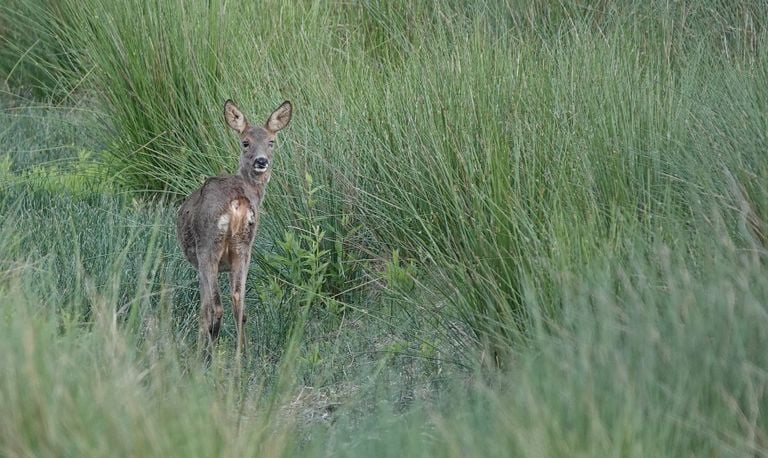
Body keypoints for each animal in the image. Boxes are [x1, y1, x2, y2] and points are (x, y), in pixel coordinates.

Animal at [176, 99, 292, 358]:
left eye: (271, 141)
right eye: (245, 142)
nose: (261, 161)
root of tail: (237, 202)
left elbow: (203, 306)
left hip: (208, 245)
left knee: (214, 306)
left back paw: (209, 353)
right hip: (244, 245)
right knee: (238, 298)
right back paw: (242, 356)